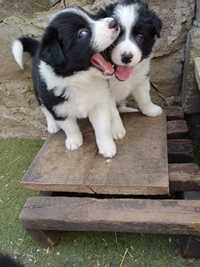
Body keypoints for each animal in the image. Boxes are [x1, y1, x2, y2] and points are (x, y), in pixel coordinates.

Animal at [11, 7, 126, 158]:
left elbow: (102, 128)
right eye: (82, 33)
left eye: (93, 17)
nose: (114, 22)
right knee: (43, 107)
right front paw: (74, 141)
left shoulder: (99, 104)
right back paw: (52, 125)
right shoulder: (57, 107)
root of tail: (39, 47)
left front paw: (107, 147)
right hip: (38, 90)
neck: (78, 80)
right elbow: (70, 127)